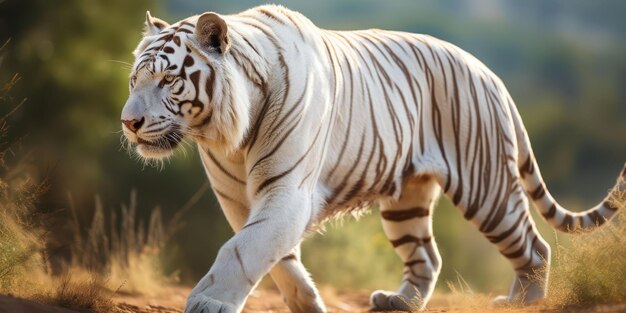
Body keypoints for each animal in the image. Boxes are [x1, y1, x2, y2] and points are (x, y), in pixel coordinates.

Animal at [119, 4, 620, 312]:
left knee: (532, 244)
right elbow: (274, 256)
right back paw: (399, 302)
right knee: (427, 256)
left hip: (487, 186)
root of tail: (490, 73)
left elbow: (242, 250)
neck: (227, 134)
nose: (129, 123)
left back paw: (524, 301)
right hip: (407, 202)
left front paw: (209, 301)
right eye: (133, 81)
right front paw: (309, 304)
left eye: (167, 80)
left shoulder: (286, 192)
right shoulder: (240, 200)